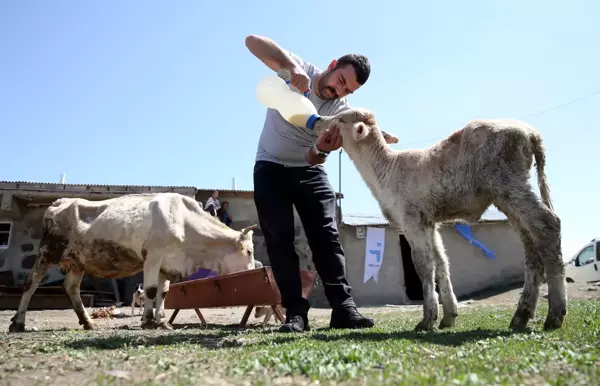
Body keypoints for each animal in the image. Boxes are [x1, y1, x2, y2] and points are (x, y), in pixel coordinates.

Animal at [7, 193, 255, 332]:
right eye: (250, 251)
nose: (255, 270)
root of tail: (60, 201)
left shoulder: (167, 263)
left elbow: (163, 293)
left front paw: (162, 321)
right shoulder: (153, 256)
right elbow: (151, 290)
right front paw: (148, 321)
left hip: (78, 261)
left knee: (71, 287)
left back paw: (88, 322)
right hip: (47, 251)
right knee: (31, 283)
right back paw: (18, 323)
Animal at [314, 108, 568, 332]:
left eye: (340, 119)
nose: (317, 120)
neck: (385, 170)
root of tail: (531, 133)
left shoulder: (412, 220)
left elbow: (424, 266)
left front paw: (428, 319)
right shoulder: (429, 222)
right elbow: (442, 262)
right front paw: (449, 316)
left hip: (509, 183)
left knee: (549, 223)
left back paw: (555, 314)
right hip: (508, 194)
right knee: (531, 243)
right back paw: (521, 316)